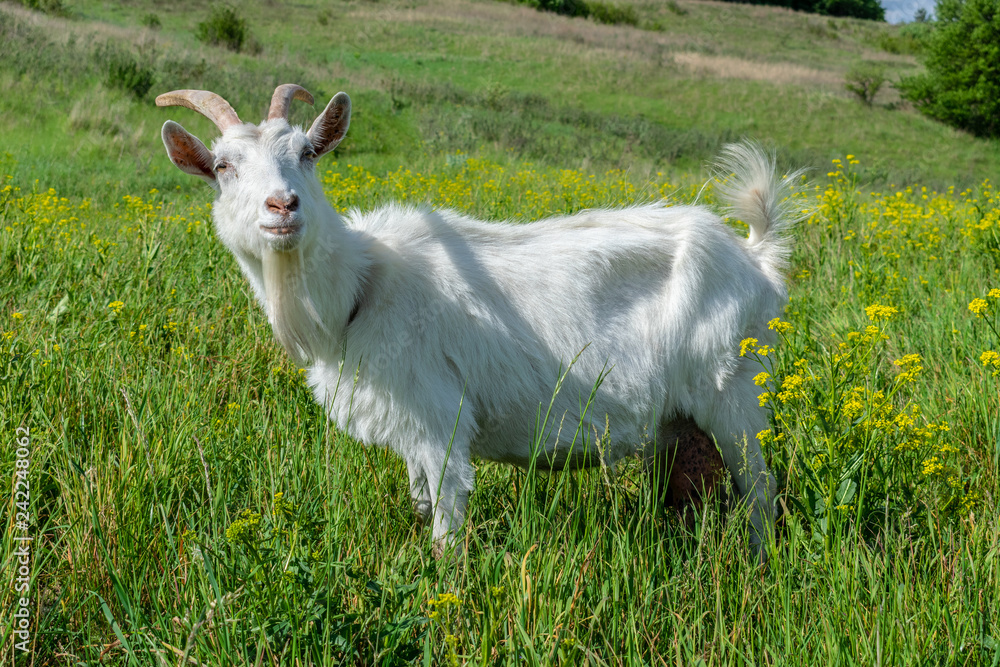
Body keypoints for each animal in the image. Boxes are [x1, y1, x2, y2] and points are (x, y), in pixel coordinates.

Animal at [156, 84, 794, 558]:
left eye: (308, 153)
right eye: (222, 166)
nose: (282, 206)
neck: (360, 288)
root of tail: (755, 256)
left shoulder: (441, 420)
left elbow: (446, 523)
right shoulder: (409, 428)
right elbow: (420, 504)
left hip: (733, 391)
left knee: (760, 489)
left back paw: (758, 563)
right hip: (680, 419)